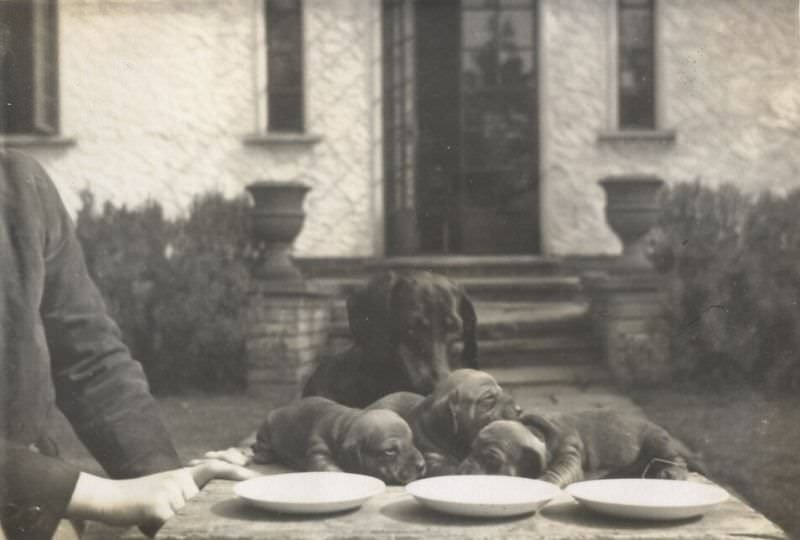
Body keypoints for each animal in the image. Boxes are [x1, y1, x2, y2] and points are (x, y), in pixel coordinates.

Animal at [252, 392, 424, 486]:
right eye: (390, 451)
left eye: (412, 441)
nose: (422, 465)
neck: (346, 426)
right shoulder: (317, 450)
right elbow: (329, 467)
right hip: (268, 423)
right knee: (261, 443)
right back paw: (263, 455)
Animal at [460, 410, 704, 486]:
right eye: (470, 450)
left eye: (492, 459)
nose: (464, 467)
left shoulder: (569, 453)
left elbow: (555, 473)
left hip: (657, 440)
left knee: (674, 459)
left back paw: (670, 473)